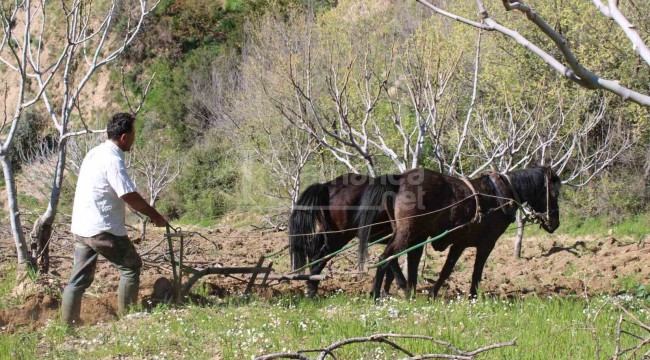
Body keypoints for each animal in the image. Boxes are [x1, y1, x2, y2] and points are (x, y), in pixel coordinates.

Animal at [356, 166, 560, 298]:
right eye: (553, 193)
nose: (555, 223)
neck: (500, 195)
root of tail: (400, 179)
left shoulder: (459, 244)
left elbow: (446, 270)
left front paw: (432, 294)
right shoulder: (486, 244)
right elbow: (475, 272)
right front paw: (472, 297)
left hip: (411, 235)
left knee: (401, 261)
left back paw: (408, 292)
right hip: (408, 233)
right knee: (385, 257)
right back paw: (377, 295)